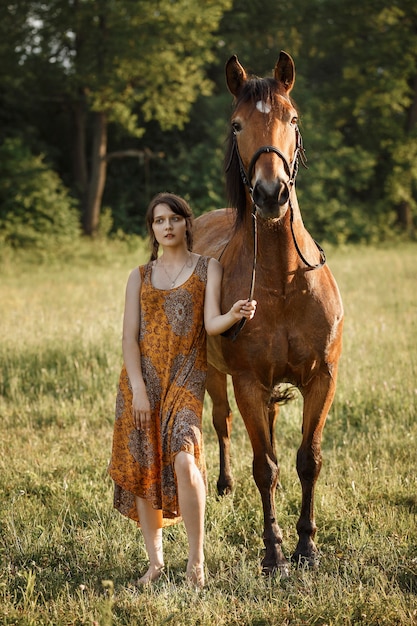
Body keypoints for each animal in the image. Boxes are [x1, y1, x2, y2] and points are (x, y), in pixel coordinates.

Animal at [193, 51, 342, 572]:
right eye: (237, 124)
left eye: (292, 119)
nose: (270, 193)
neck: (282, 281)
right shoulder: (247, 383)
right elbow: (264, 466)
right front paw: (274, 551)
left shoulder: (322, 379)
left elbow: (307, 460)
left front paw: (307, 546)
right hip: (216, 378)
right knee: (221, 426)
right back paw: (220, 485)